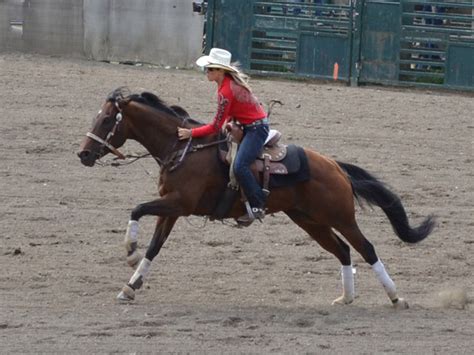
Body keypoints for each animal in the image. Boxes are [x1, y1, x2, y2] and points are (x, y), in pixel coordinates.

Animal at [78, 88, 436, 308]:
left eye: (107, 119)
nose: (83, 154)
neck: (183, 148)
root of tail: (335, 166)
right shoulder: (172, 208)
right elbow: (155, 246)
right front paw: (130, 286)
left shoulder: (180, 204)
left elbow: (137, 210)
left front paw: (129, 250)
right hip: (310, 221)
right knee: (343, 250)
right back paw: (346, 298)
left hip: (341, 217)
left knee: (366, 248)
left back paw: (396, 298)